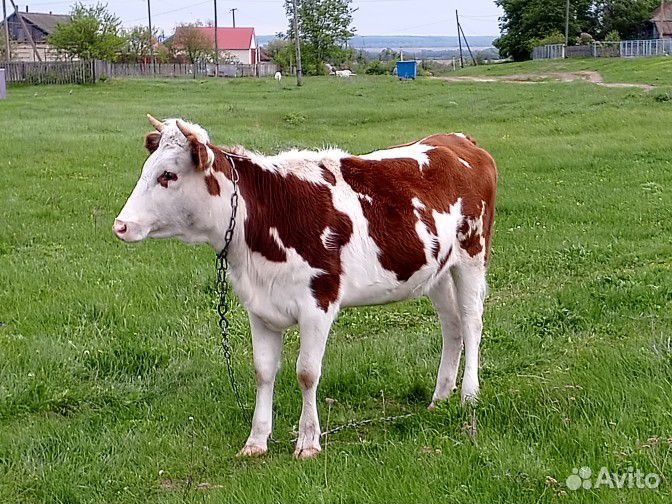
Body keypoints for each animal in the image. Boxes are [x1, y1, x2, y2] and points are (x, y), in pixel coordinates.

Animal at [114, 115, 498, 459]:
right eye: (147, 169)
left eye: (168, 175)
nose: (120, 225)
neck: (267, 217)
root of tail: (458, 140)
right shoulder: (259, 307)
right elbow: (263, 371)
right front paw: (256, 440)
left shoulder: (319, 302)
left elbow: (307, 373)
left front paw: (308, 442)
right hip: (437, 271)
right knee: (452, 326)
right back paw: (439, 398)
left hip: (472, 254)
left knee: (471, 322)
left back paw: (469, 396)